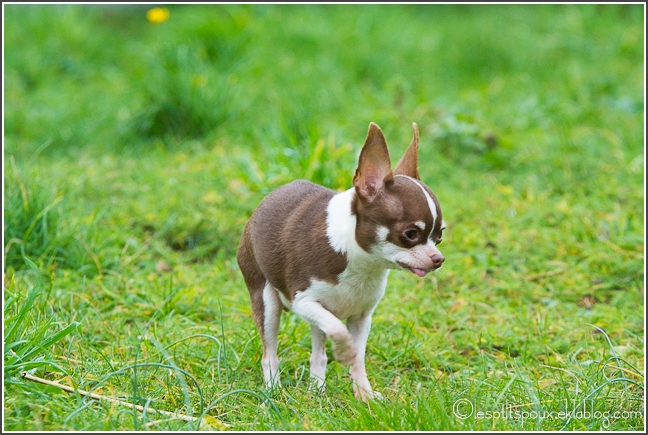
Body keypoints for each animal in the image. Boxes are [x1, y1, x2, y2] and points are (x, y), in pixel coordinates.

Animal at [238, 122, 446, 402]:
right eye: (410, 234)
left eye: (440, 235)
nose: (438, 259)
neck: (360, 264)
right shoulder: (304, 302)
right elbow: (338, 330)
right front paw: (345, 352)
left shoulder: (361, 317)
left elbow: (358, 358)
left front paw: (365, 396)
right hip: (266, 298)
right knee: (269, 352)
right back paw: (274, 390)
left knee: (318, 354)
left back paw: (316, 391)